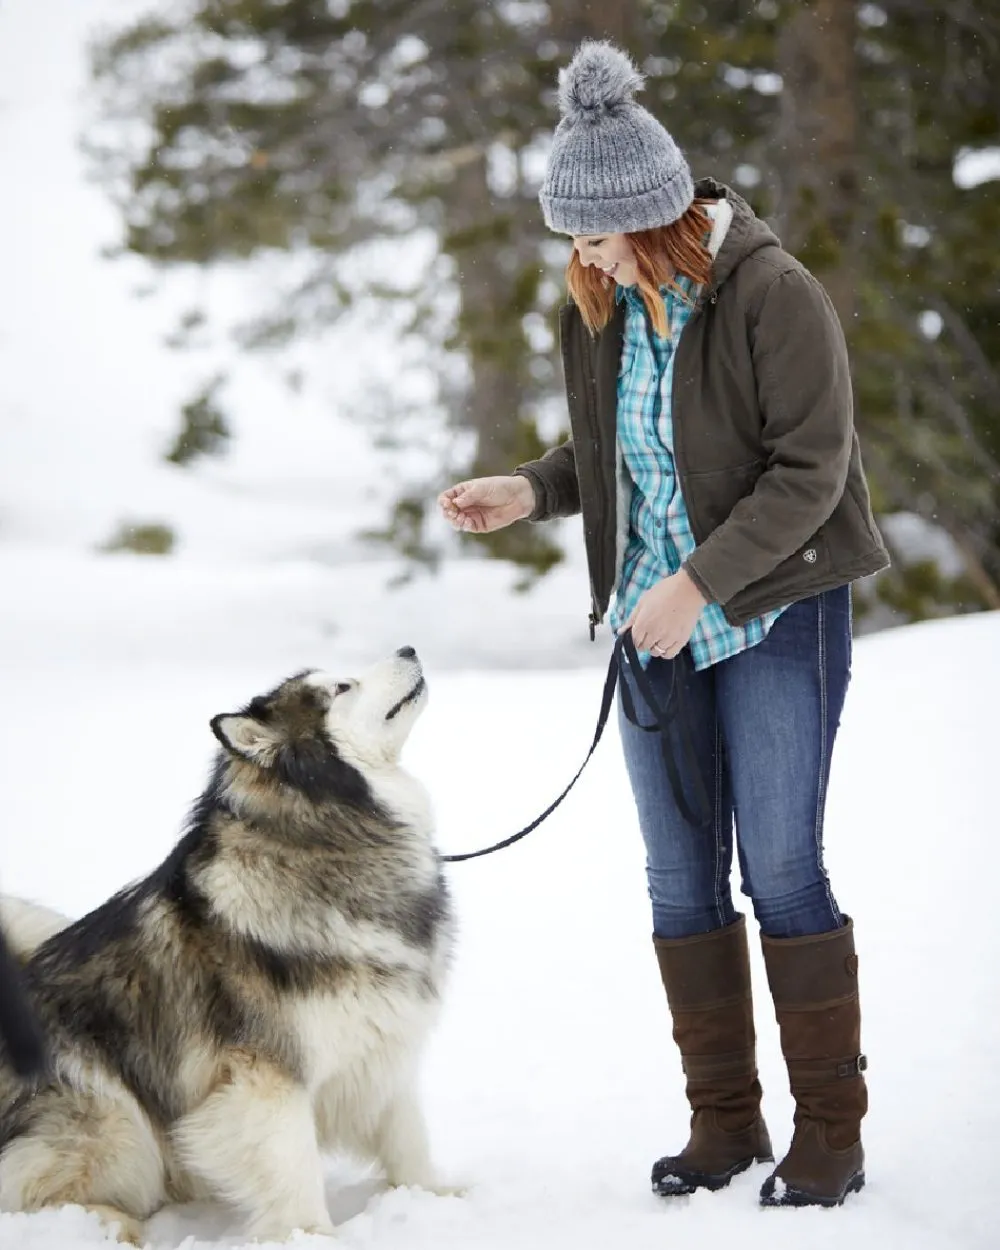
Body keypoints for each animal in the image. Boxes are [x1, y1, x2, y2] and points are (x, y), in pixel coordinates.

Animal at [0, 650, 452, 1245]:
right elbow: (294, 1167)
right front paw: (311, 1235)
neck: (324, 835)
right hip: (115, 1122)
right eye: (342, 688)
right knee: (27, 1192)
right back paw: (111, 1224)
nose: (408, 650)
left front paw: (439, 1198)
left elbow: (408, 1139)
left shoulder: (382, 1045)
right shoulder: (266, 1076)